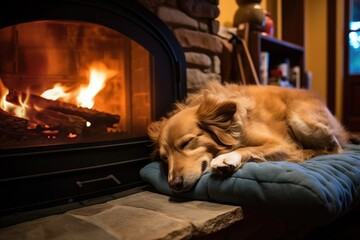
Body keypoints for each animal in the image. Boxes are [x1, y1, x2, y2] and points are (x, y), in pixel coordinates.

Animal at [148, 81, 350, 192]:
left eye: (187, 142)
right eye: (164, 158)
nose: (174, 184)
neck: (232, 124)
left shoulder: (282, 144)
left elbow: (247, 148)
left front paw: (226, 159)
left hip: (298, 117)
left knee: (335, 147)